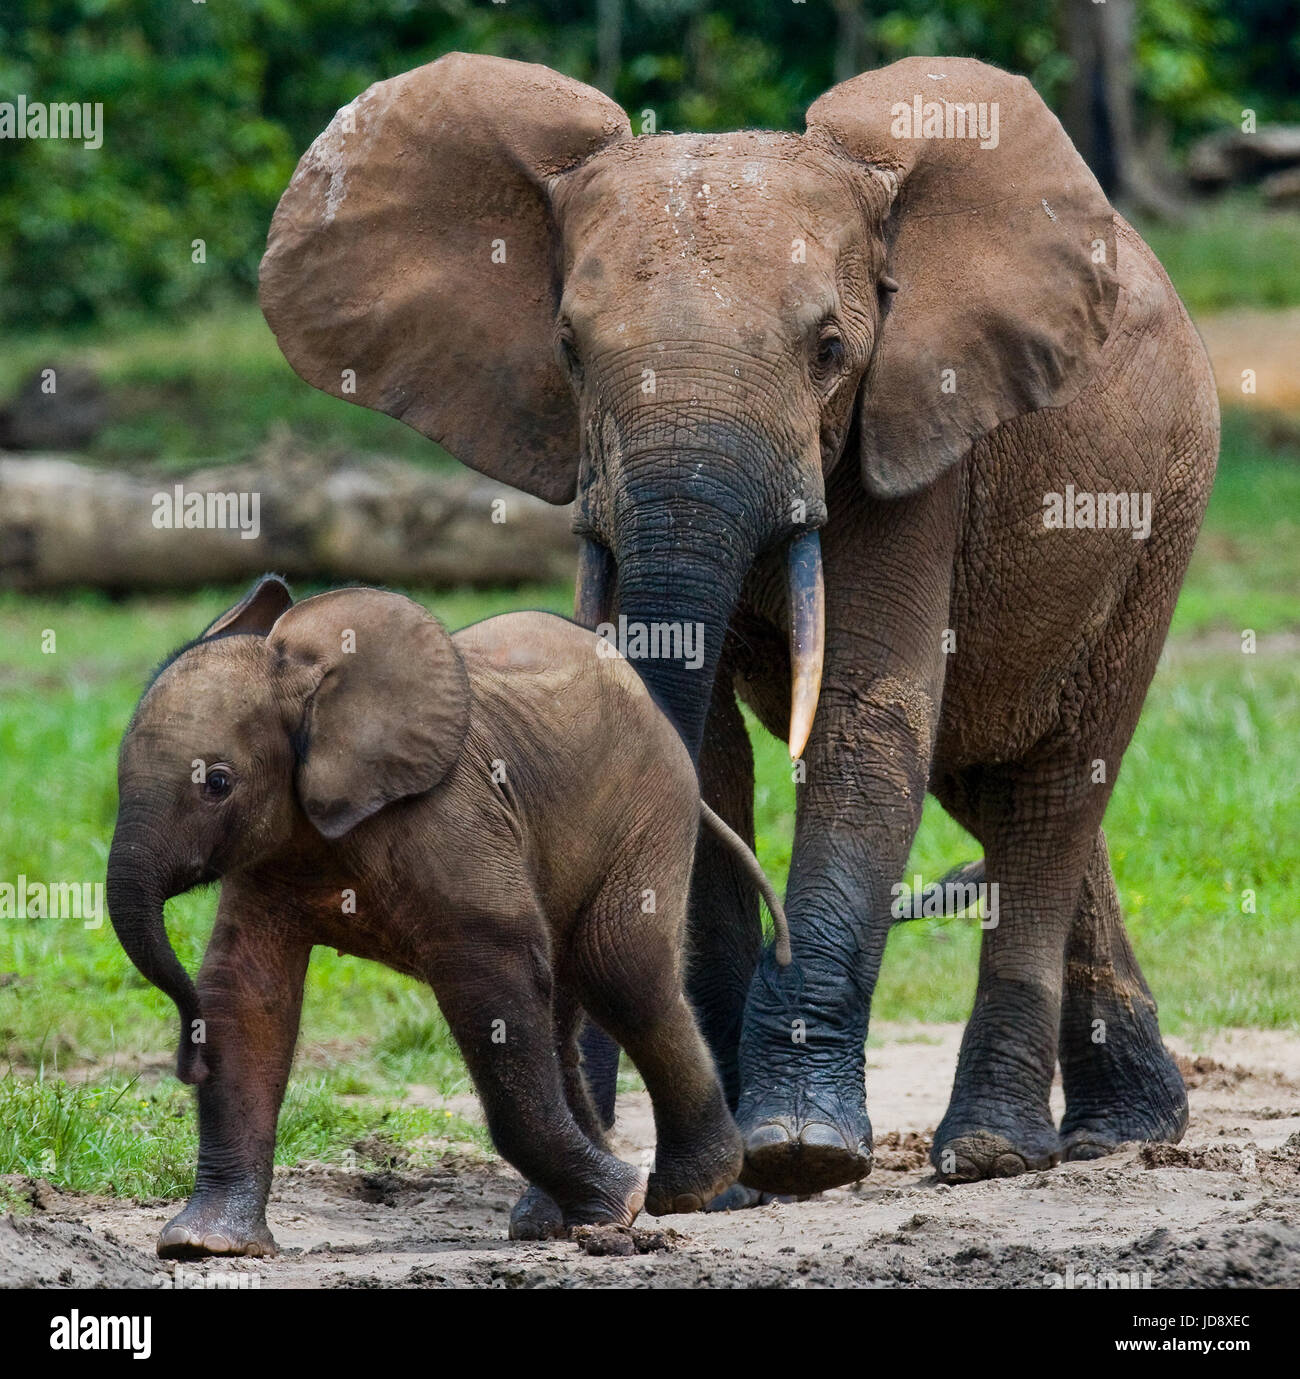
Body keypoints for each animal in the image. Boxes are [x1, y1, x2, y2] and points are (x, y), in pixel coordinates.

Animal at [106, 576, 794, 1257]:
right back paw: (558, 1222)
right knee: (566, 1000)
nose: (186, 1063)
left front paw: (622, 1204)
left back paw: (686, 1192)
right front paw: (203, 1247)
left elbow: (491, 983)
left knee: (621, 972)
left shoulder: (450, 820)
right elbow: (246, 995)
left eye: (217, 783)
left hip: (651, 806)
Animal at [261, 56, 1218, 1196]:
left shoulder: (912, 428)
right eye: (568, 350)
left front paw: (802, 1152)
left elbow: (863, 718)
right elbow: (701, 746)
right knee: (997, 779)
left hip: (1159, 512)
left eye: (831, 348)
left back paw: (995, 1151)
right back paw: (1124, 1129)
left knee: (1055, 782)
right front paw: (731, 1178)